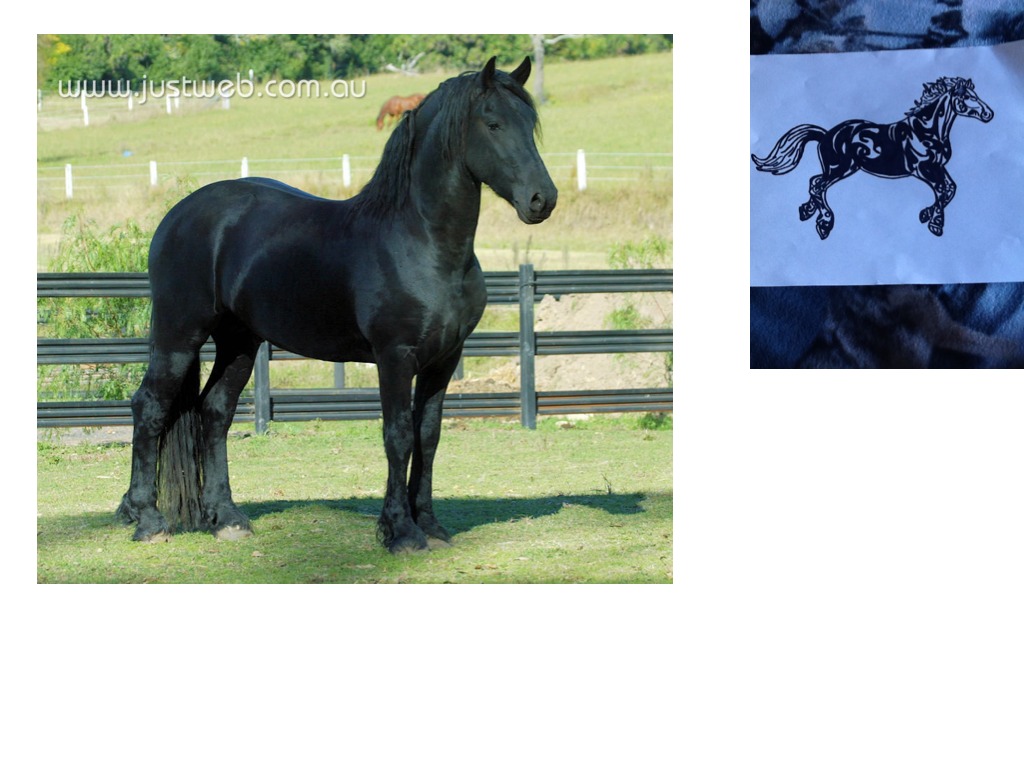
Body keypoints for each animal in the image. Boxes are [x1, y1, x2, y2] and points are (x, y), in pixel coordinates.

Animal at [115, 57, 557, 554]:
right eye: (493, 123)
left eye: (530, 124)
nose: (542, 200)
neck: (421, 242)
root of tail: (177, 214)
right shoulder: (395, 358)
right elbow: (398, 436)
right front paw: (400, 532)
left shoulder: (445, 359)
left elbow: (428, 435)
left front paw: (429, 525)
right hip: (178, 336)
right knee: (149, 407)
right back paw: (146, 517)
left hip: (239, 344)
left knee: (215, 413)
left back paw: (227, 517)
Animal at [751, 76, 993, 239]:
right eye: (967, 97)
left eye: (976, 95)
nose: (989, 114)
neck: (927, 131)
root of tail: (826, 134)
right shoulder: (923, 169)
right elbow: (943, 190)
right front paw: (935, 224)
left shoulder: (938, 168)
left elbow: (950, 189)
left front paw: (926, 215)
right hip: (840, 168)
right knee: (817, 185)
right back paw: (825, 224)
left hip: (841, 169)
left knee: (815, 184)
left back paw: (806, 211)